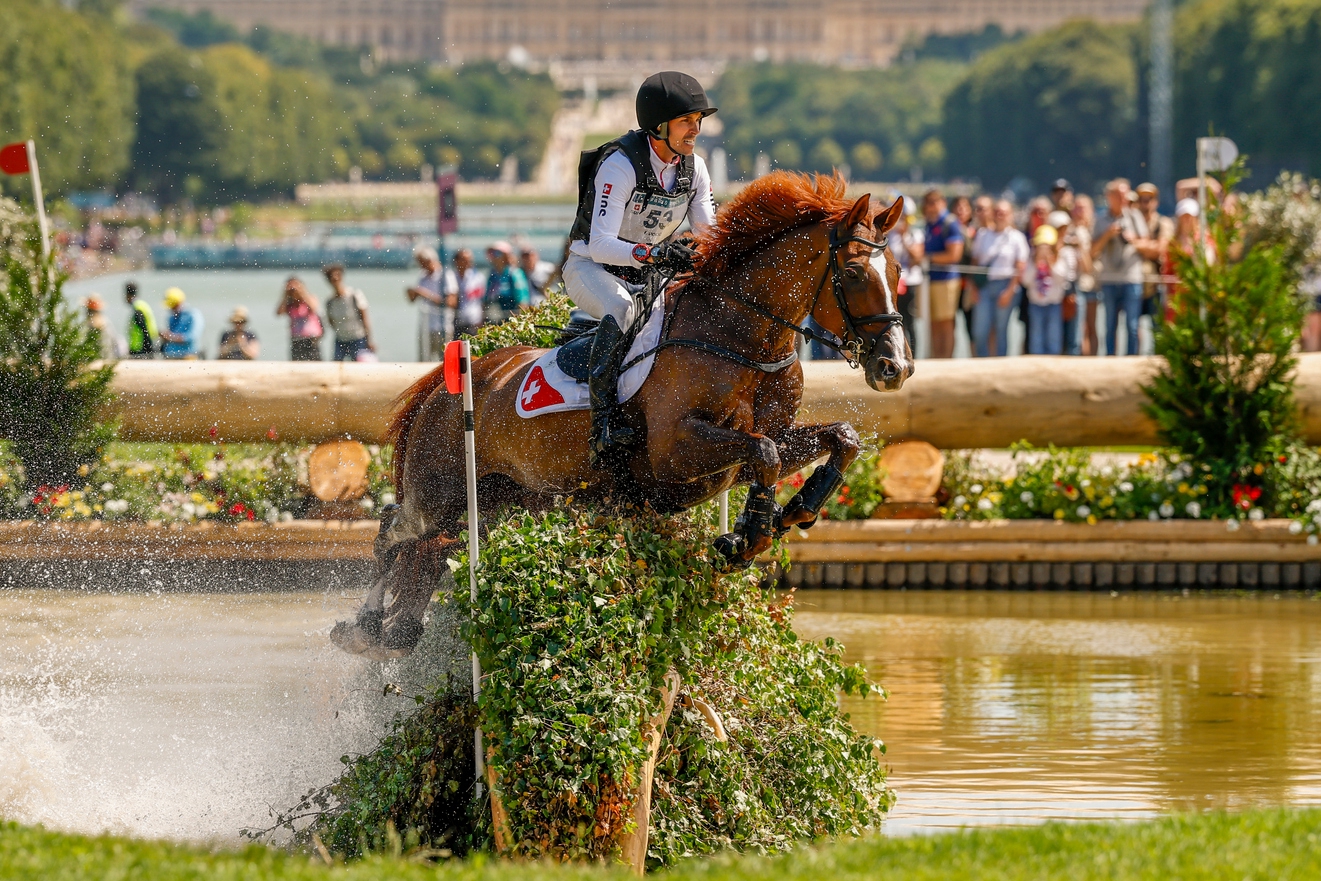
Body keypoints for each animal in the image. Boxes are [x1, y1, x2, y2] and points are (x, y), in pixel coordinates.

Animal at [332, 170, 908, 655]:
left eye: (899, 270)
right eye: (855, 272)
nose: (895, 367)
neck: (742, 337)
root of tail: (446, 385)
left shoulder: (734, 458)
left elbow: (838, 438)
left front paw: (789, 513)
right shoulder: (678, 451)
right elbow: (764, 451)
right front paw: (752, 533)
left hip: (499, 502)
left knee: (430, 551)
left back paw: (395, 634)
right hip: (439, 490)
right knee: (392, 529)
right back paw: (361, 626)